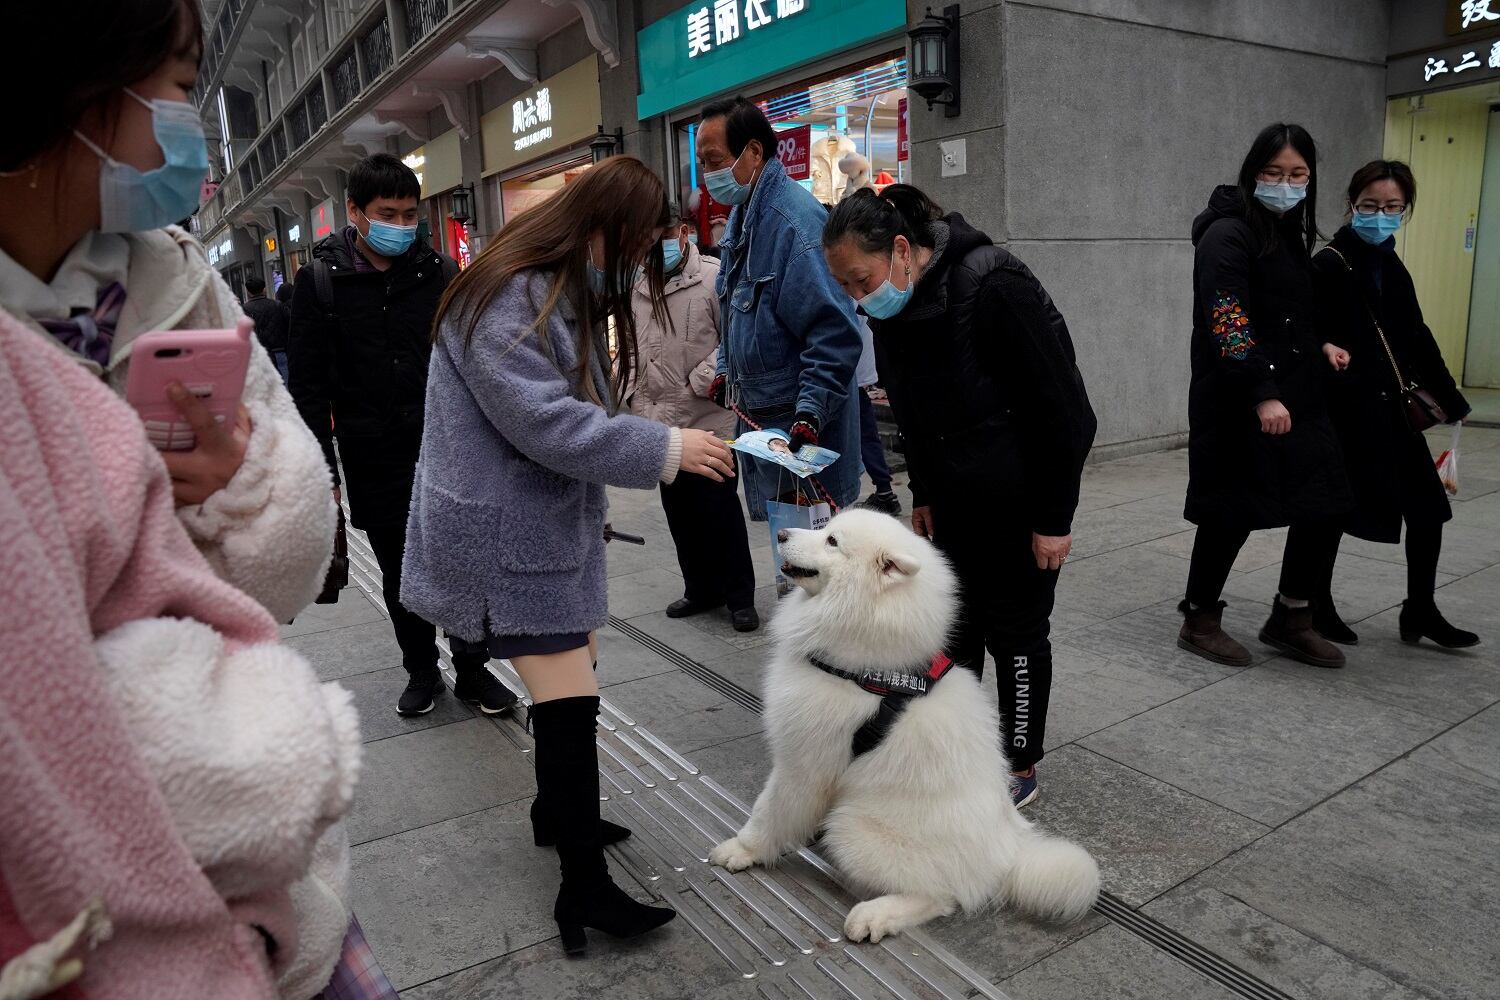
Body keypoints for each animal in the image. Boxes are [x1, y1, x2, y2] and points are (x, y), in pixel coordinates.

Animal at [708, 512, 1098, 941]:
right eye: (826, 526)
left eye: (832, 541)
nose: (779, 533)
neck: (861, 670)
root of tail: (1008, 853)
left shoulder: (803, 764)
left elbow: (768, 812)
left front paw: (741, 850)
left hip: (851, 827)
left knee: (942, 896)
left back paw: (873, 916)